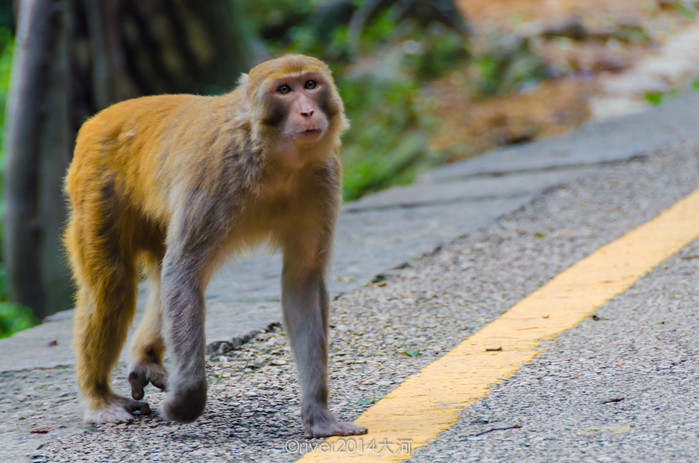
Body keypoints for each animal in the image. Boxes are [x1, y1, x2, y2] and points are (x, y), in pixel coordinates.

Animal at [65, 54, 370, 438]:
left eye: (311, 85)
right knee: (114, 286)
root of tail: (98, 119)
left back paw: (145, 360)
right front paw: (188, 401)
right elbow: (184, 270)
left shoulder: (324, 177)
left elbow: (303, 282)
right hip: (94, 186)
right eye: (284, 90)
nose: (306, 111)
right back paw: (98, 398)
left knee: (164, 277)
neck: (271, 156)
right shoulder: (215, 173)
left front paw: (318, 415)